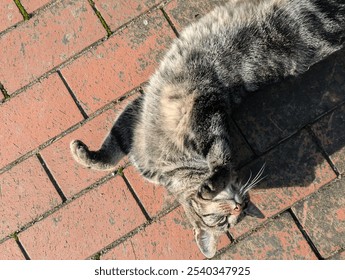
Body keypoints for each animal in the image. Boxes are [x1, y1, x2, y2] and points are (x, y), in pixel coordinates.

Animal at [69, 0, 342, 258]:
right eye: (224, 221)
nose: (238, 207)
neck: (169, 167)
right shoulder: (136, 117)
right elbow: (111, 146)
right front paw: (85, 155)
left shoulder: (207, 112)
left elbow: (220, 157)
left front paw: (210, 186)